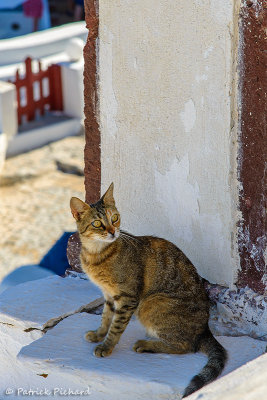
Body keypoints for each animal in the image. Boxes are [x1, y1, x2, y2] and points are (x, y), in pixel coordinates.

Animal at [70, 184, 227, 396]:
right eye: (97, 223)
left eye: (114, 218)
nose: (113, 231)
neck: (97, 254)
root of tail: (205, 329)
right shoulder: (109, 295)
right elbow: (105, 318)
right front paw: (98, 335)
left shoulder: (128, 297)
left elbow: (116, 327)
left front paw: (106, 347)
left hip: (150, 304)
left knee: (185, 346)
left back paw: (146, 345)